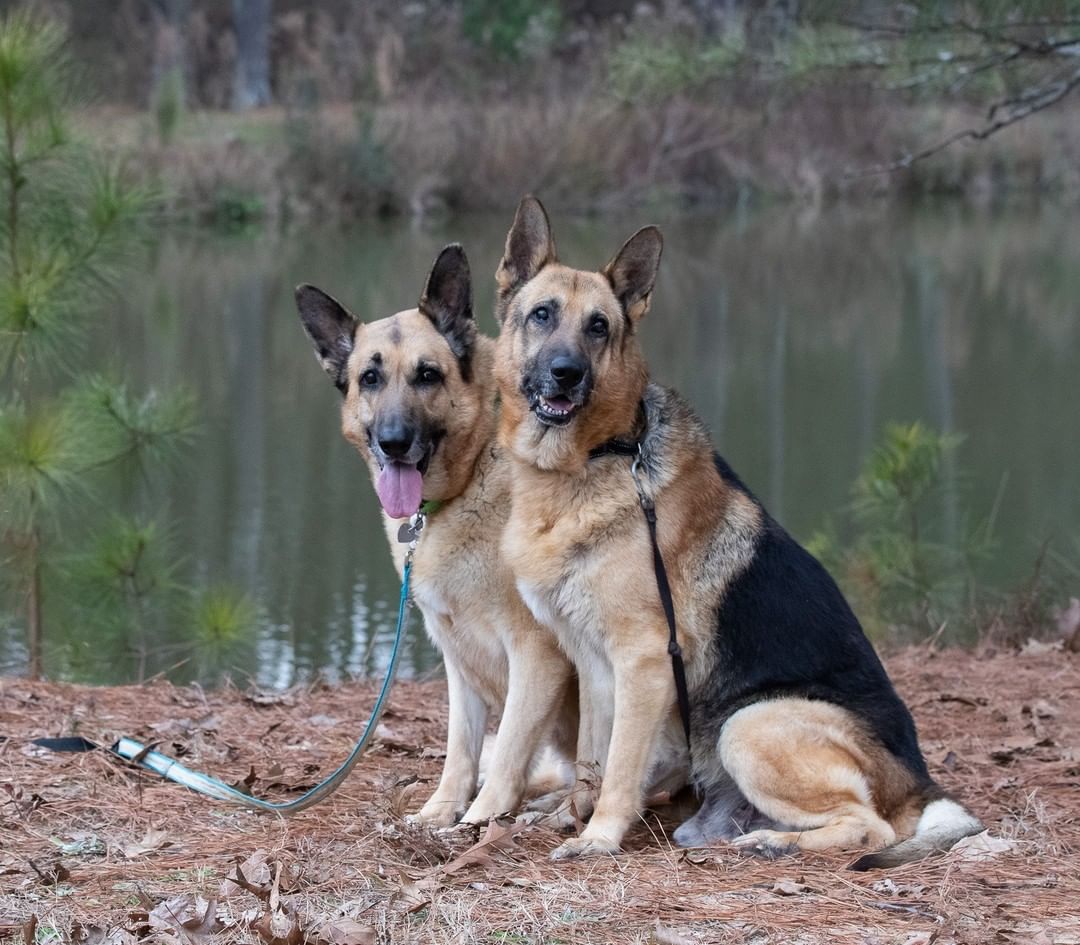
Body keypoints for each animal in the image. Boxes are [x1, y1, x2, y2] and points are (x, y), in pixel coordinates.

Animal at [295, 244, 578, 829]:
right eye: (370, 378)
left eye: (428, 375)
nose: (393, 441)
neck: (469, 477)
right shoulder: (458, 659)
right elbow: (460, 747)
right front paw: (442, 812)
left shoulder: (536, 653)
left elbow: (510, 744)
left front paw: (480, 820)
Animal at [494, 195, 984, 868]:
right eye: (542, 315)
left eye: (598, 328)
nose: (566, 374)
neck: (599, 457)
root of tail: (920, 784)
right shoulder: (593, 666)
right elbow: (591, 759)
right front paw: (568, 817)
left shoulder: (643, 662)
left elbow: (618, 768)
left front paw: (598, 837)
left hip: (748, 724)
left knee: (872, 829)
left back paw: (775, 842)